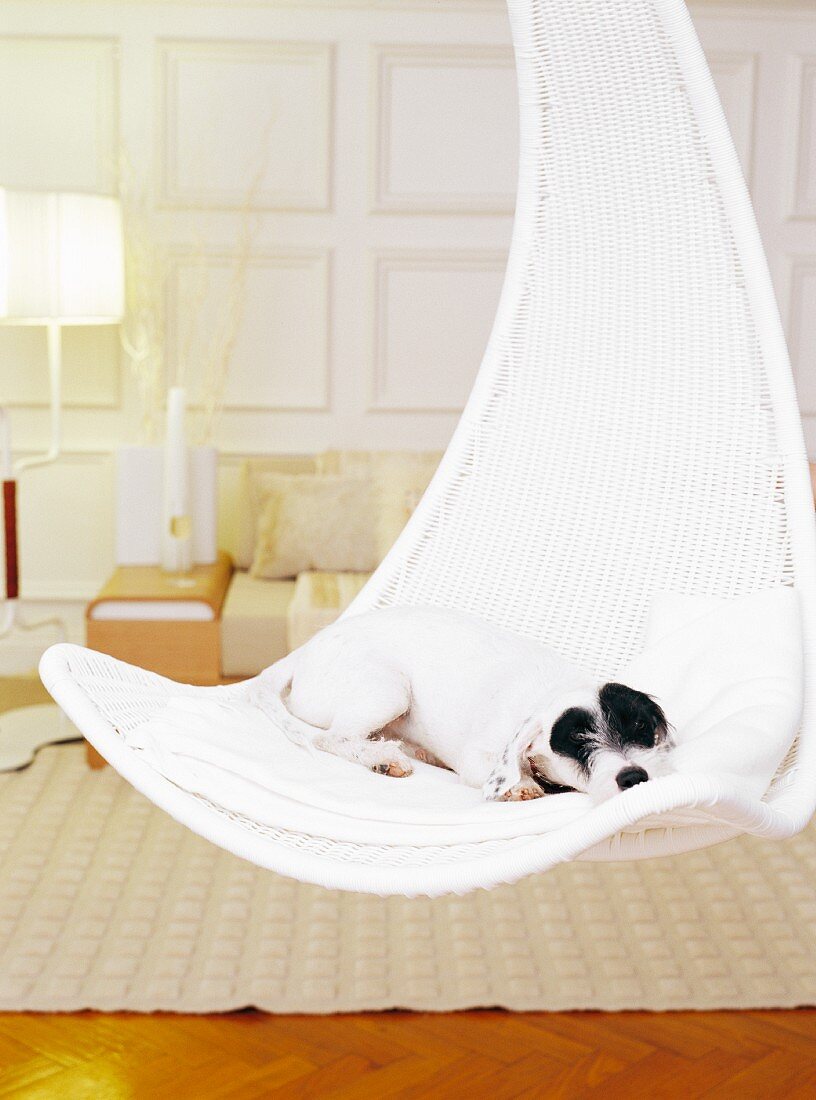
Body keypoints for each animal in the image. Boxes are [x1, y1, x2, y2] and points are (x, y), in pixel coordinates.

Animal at [254, 607, 673, 805]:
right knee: (333, 739)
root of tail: (305, 650)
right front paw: (520, 785)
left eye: (640, 728)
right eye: (578, 742)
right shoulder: (478, 758)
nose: (634, 777)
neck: (551, 690)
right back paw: (383, 759)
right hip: (389, 690)